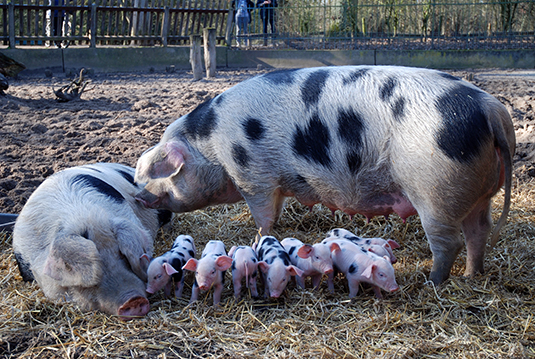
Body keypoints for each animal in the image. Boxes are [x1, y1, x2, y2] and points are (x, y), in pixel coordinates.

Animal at [134, 64, 516, 286]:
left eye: (159, 172)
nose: (139, 195)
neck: (211, 146)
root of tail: (492, 111)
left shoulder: (253, 176)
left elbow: (263, 215)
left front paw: (259, 237)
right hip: (480, 192)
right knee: (478, 231)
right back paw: (472, 275)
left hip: (434, 190)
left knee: (448, 242)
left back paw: (433, 282)